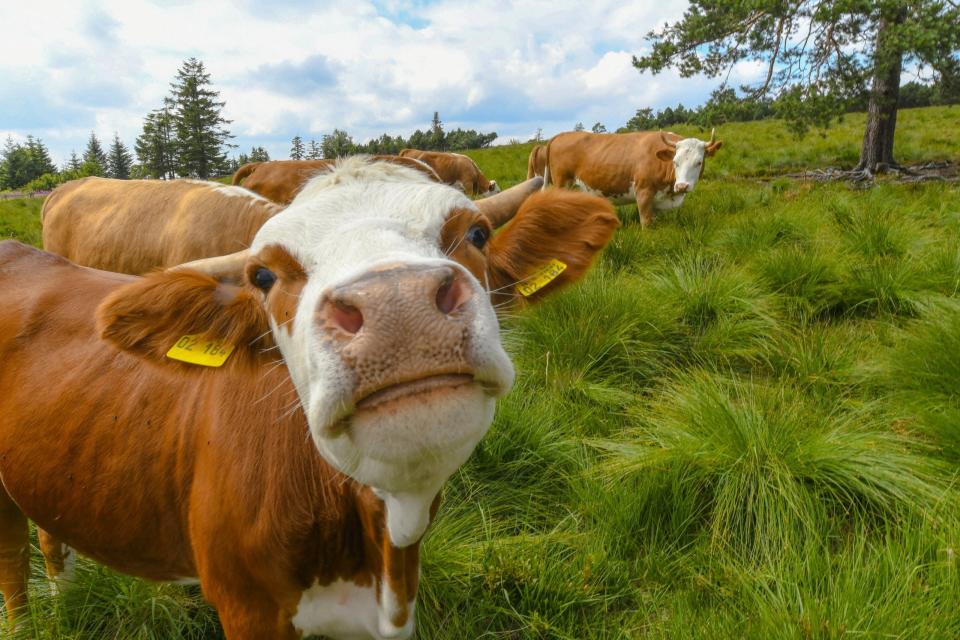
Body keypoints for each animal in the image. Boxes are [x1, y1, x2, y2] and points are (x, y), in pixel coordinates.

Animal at [544, 129, 724, 226]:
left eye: (699, 162)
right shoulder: (643, 193)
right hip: (562, 183)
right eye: (675, 161)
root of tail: (560, 135)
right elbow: (646, 223)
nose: (682, 186)